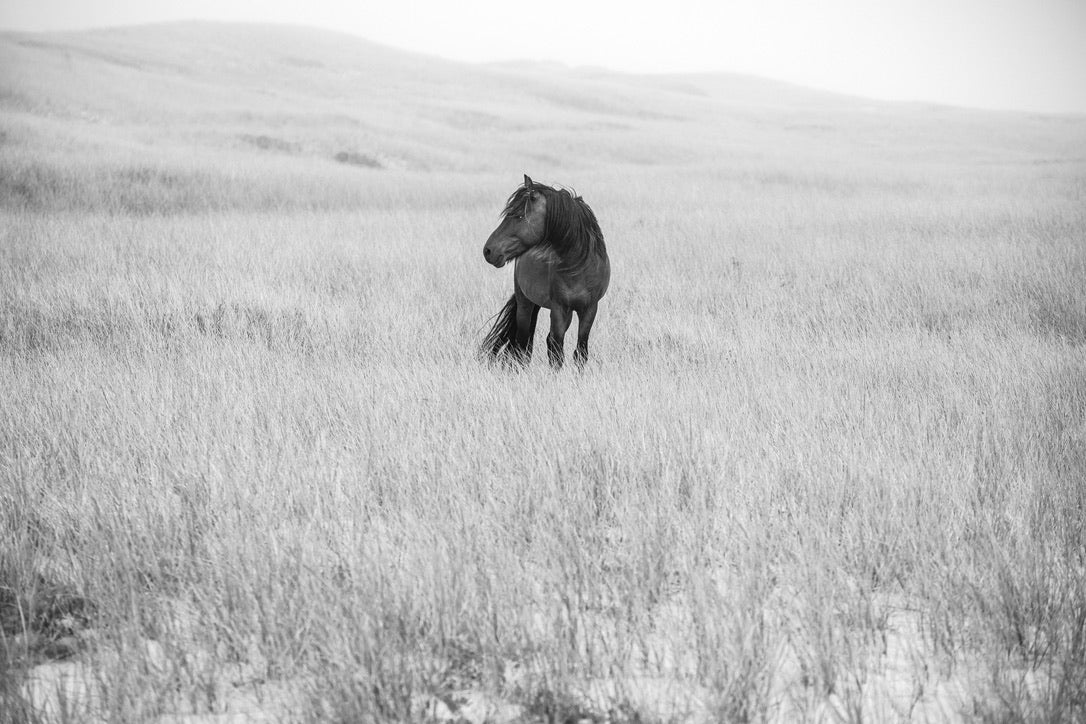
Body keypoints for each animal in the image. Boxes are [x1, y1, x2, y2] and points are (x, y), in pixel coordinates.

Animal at [480, 174, 608, 369]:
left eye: (519, 215)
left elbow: (580, 352)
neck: (579, 268)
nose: (488, 251)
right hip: (525, 303)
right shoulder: (558, 309)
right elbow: (557, 354)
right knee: (522, 344)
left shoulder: (589, 309)